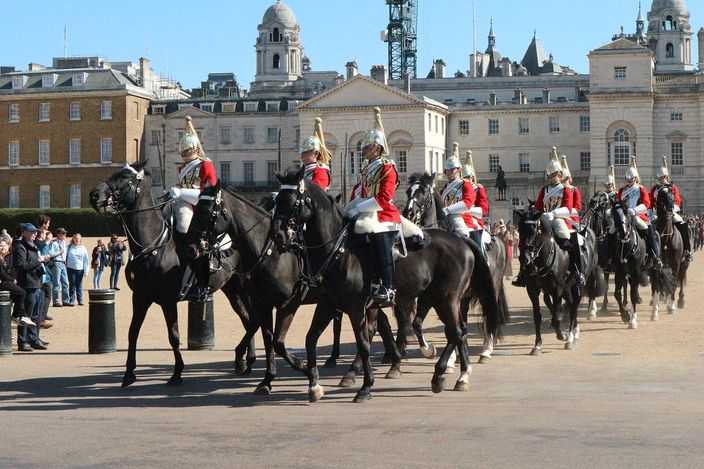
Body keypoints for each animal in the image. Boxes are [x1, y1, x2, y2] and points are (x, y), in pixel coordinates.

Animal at [89, 161, 257, 387]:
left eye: (124, 177)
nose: (94, 195)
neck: (151, 245)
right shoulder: (140, 297)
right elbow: (133, 332)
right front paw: (129, 373)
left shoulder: (168, 300)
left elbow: (174, 335)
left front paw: (177, 373)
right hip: (232, 290)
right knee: (248, 319)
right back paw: (248, 361)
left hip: (242, 287)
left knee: (252, 319)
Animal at [185, 181, 404, 395]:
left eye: (206, 211)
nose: (191, 247)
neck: (269, 252)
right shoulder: (262, 302)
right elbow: (267, 338)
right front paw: (266, 378)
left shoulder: (289, 303)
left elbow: (277, 342)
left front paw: (305, 369)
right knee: (376, 326)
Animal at [402, 172, 510, 364]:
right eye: (408, 191)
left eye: (423, 191)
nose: (408, 212)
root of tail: (497, 238)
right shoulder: (429, 296)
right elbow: (420, 324)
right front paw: (435, 352)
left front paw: (450, 358)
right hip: (464, 296)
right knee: (464, 322)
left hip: (491, 287)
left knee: (489, 314)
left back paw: (486, 350)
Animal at [513, 203, 598, 353]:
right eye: (519, 228)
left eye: (534, 230)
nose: (524, 258)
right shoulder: (533, 290)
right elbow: (537, 316)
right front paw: (537, 345)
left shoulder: (557, 288)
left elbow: (555, 316)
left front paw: (562, 335)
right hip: (567, 287)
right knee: (571, 304)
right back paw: (574, 333)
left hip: (577, 285)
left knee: (574, 307)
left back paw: (571, 338)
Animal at [653, 186, 687, 318]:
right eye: (661, 194)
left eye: (672, 192)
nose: (671, 207)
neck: (666, 238)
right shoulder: (657, 264)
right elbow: (658, 284)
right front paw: (656, 308)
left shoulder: (676, 263)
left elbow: (674, 282)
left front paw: (671, 306)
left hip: (684, 263)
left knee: (680, 279)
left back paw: (680, 300)